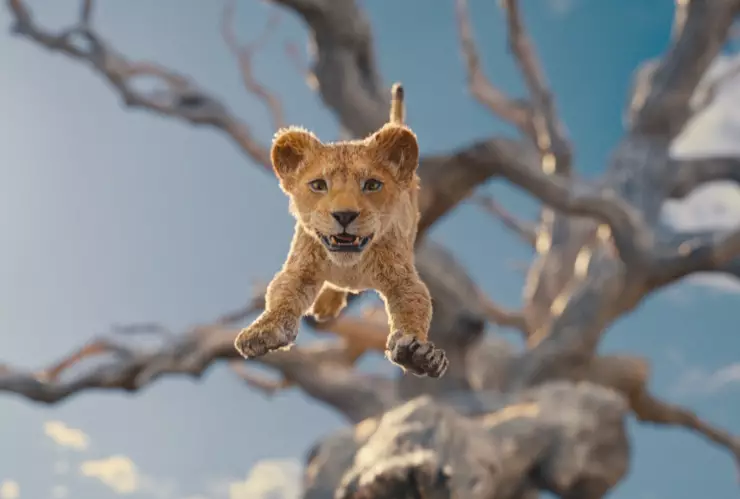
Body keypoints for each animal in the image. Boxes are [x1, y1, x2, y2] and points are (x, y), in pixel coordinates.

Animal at [233, 83, 448, 378]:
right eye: (318, 185)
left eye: (372, 185)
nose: (344, 215)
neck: (350, 265)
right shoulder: (300, 268)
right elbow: (281, 296)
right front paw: (262, 331)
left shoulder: (403, 279)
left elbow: (414, 309)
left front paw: (418, 353)